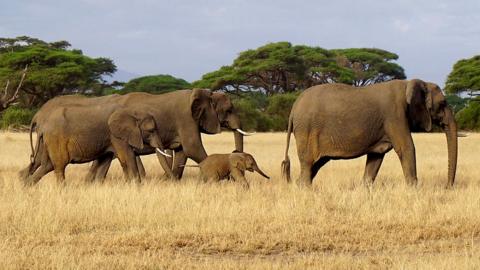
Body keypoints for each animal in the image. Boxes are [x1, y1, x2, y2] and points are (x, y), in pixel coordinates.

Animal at [282, 78, 458, 188]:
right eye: (443, 103)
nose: (447, 187)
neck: (411, 83)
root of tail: (293, 108)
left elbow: (376, 157)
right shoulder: (394, 115)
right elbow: (407, 148)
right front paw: (413, 190)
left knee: (316, 164)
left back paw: (299, 186)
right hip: (307, 129)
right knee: (308, 163)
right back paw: (305, 189)